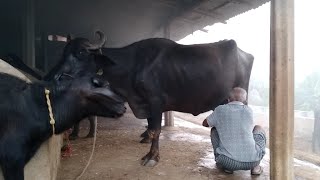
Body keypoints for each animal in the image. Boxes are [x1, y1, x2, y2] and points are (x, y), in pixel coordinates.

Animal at [52, 33, 254, 167]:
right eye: (63, 52)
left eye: (81, 53)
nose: (54, 76)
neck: (134, 64)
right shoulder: (146, 103)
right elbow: (150, 127)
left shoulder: (155, 101)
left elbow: (155, 130)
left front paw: (152, 157)